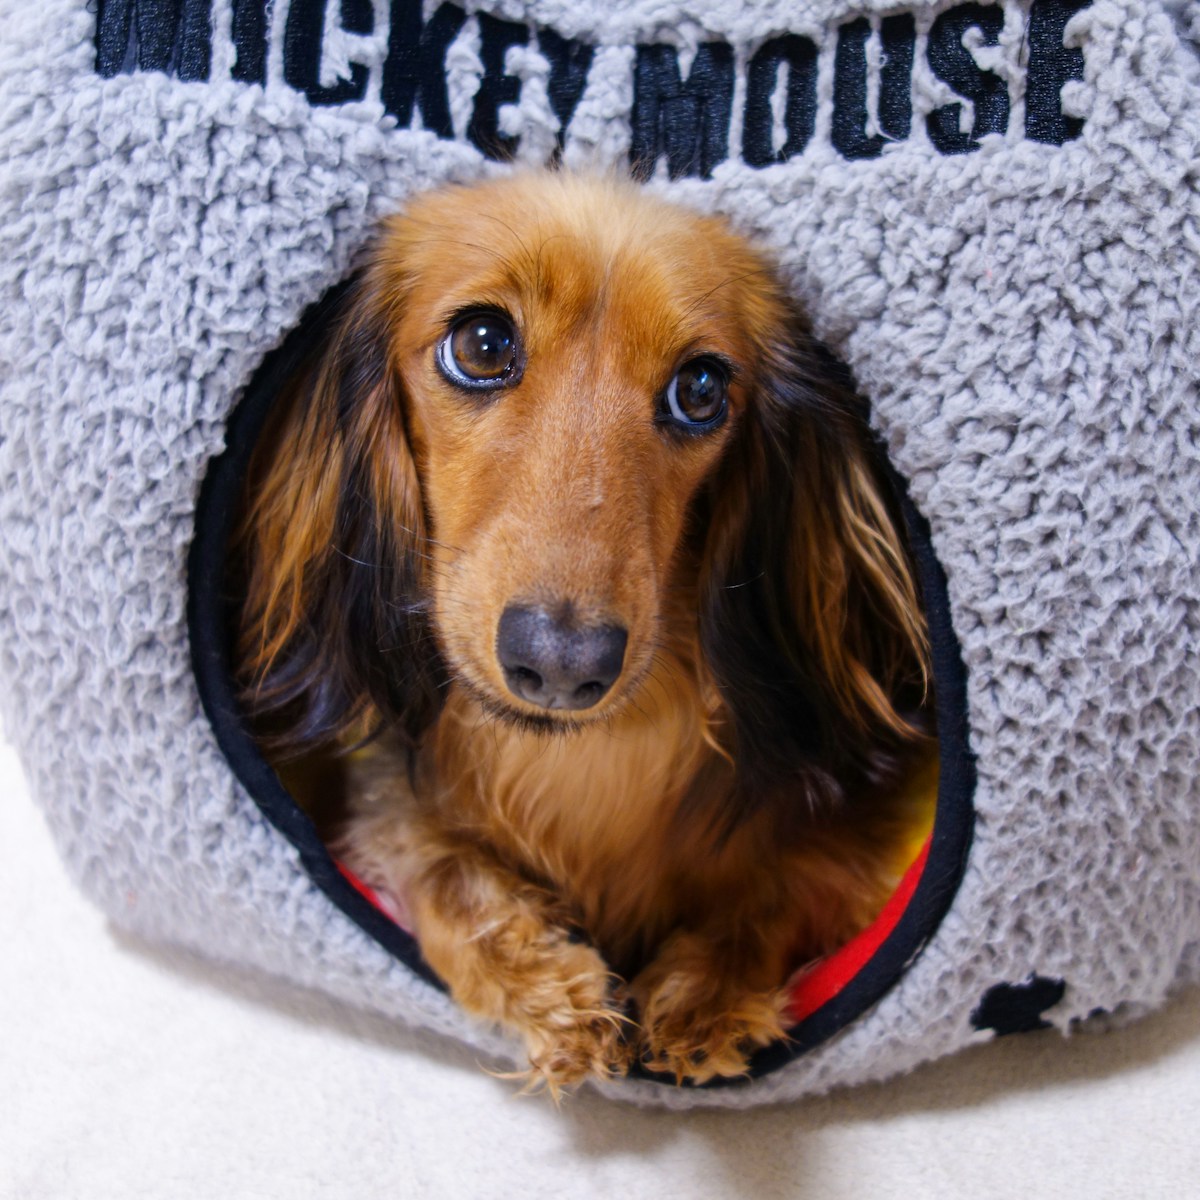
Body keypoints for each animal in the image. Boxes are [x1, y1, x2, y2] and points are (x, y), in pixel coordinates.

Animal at [229, 171, 931, 1099]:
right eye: (483, 344)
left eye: (700, 389)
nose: (560, 665)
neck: (578, 761)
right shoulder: (381, 807)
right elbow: (442, 869)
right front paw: (551, 994)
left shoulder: (857, 821)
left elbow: (782, 886)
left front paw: (704, 995)